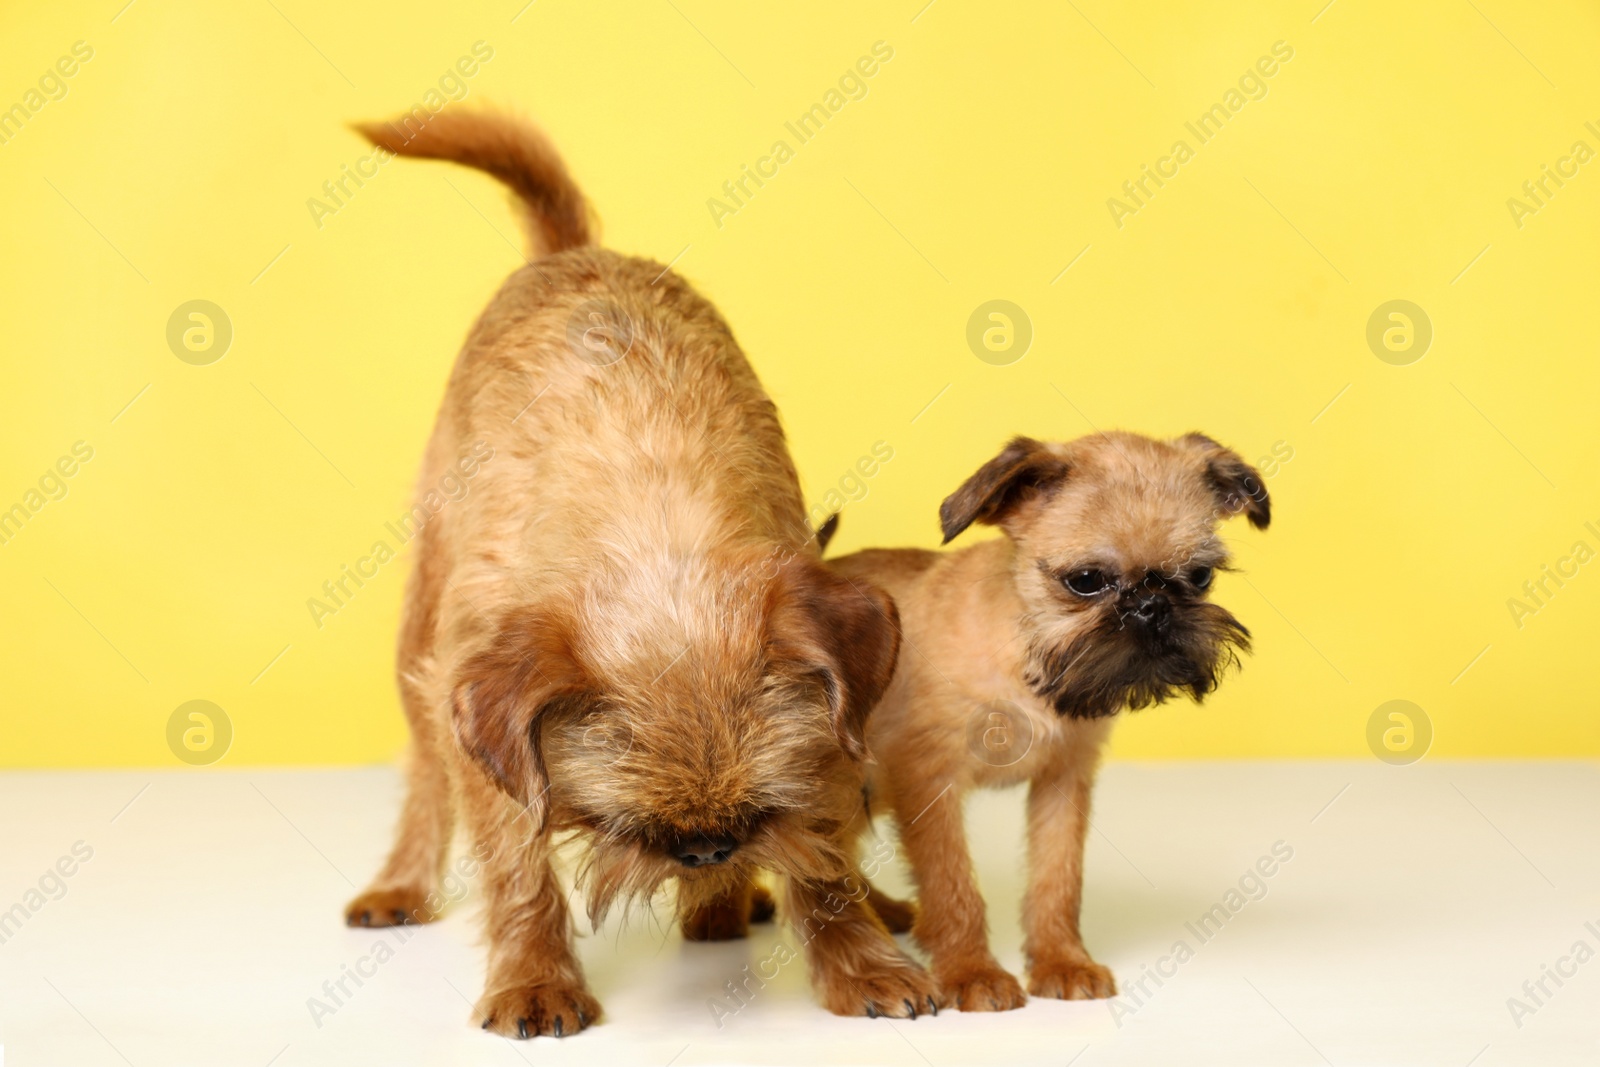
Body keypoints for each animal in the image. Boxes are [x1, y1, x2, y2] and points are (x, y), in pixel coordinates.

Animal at [340, 112, 934, 1036]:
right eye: (630, 824)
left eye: (760, 808)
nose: (707, 850)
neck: (653, 516)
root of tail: (571, 251)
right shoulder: (482, 701)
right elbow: (517, 865)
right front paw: (534, 979)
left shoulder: (826, 729)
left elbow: (824, 855)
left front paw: (858, 952)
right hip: (420, 633)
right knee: (429, 775)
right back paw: (403, 882)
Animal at [832, 431, 1267, 1011]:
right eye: (1085, 581)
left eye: (1199, 576)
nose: (1153, 605)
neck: (1030, 664)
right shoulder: (929, 783)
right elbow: (952, 886)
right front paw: (971, 972)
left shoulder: (1064, 780)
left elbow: (1058, 879)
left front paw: (1063, 961)